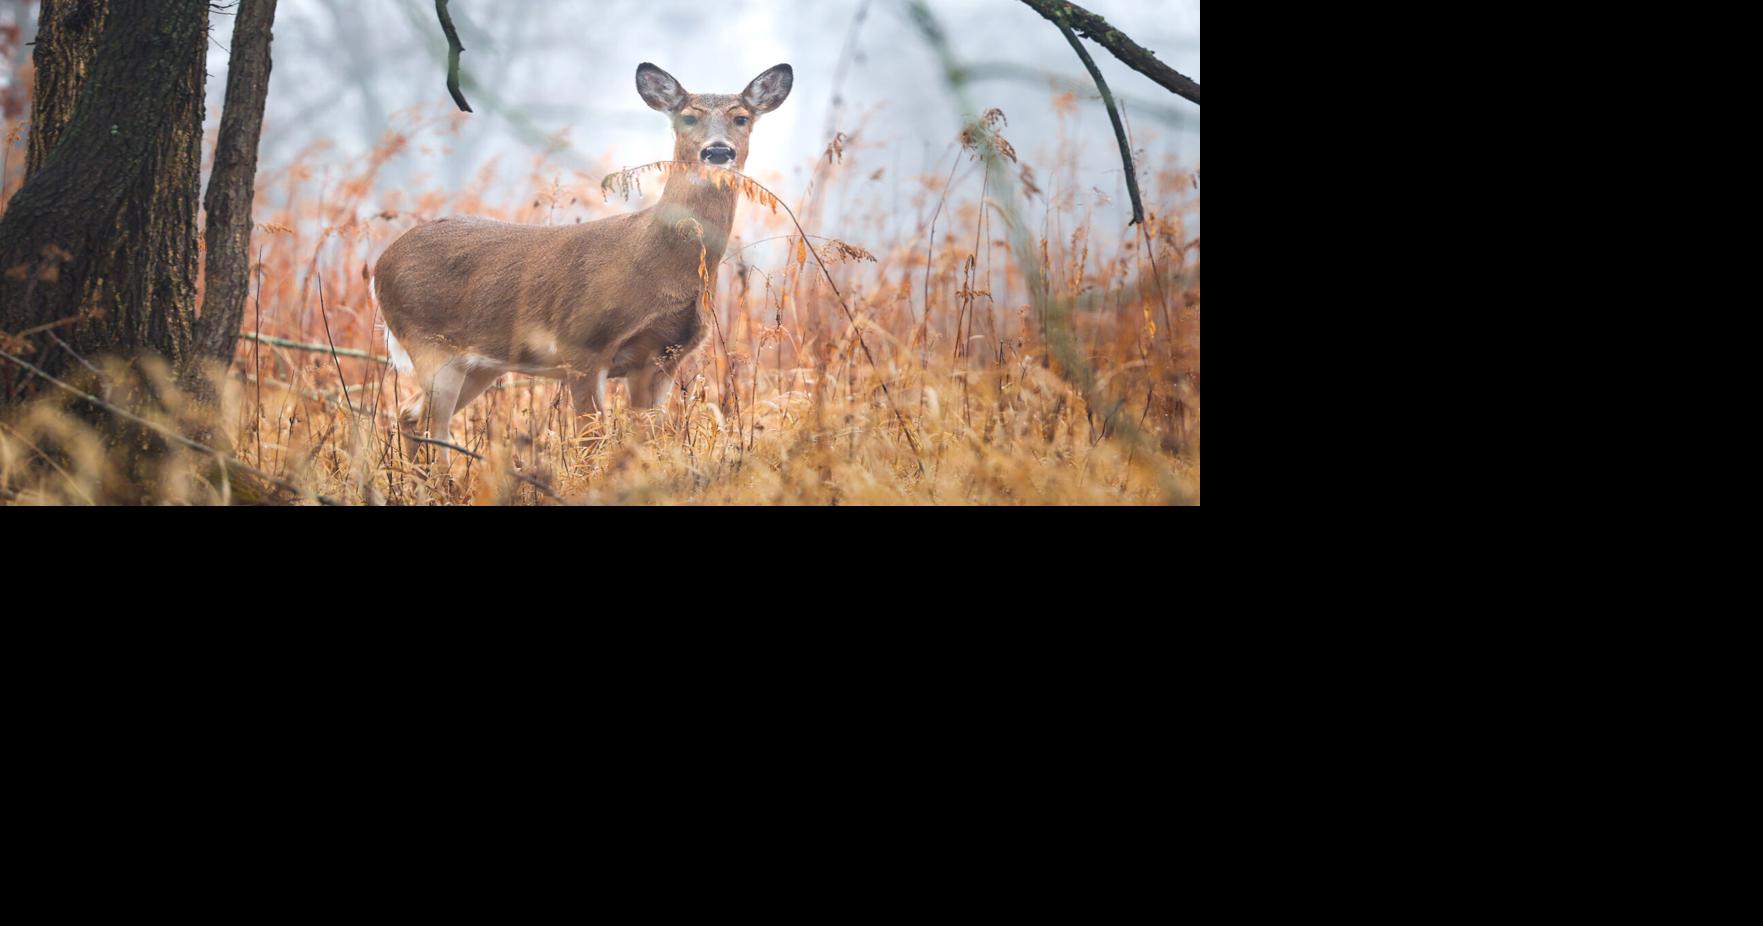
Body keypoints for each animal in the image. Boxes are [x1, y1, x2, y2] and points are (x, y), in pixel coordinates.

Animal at [373, 62, 793, 465]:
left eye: (741, 118)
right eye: (687, 117)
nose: (718, 152)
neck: (657, 260)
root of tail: (380, 264)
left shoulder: (662, 359)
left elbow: (646, 440)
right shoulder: (582, 343)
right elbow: (591, 444)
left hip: (480, 364)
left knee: (412, 415)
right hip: (429, 344)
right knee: (431, 425)